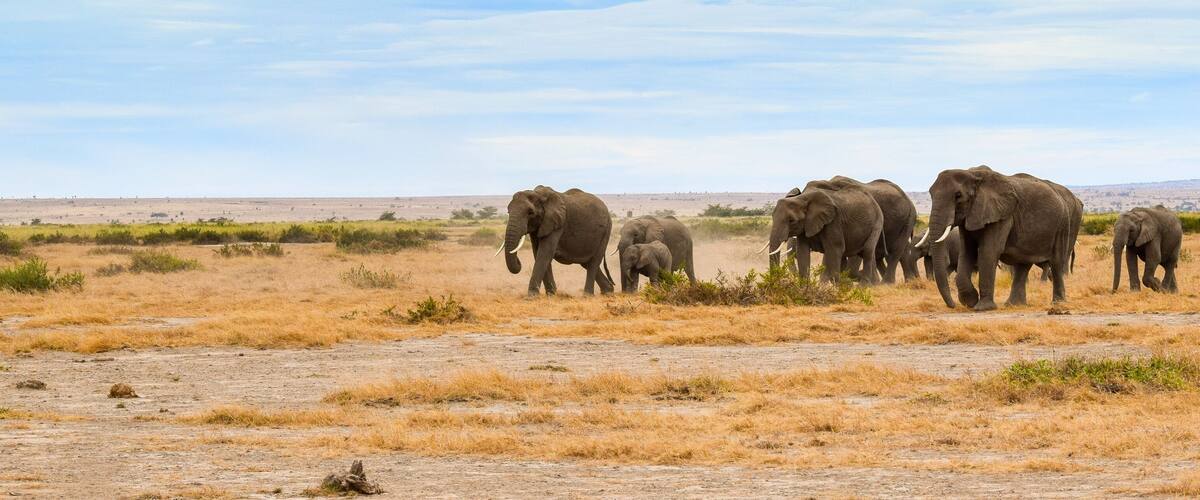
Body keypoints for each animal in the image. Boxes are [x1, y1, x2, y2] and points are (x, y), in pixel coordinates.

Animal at [921, 166, 1083, 311]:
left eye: (958, 196)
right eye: (930, 194)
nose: (953, 305)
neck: (973, 174)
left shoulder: (1001, 215)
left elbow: (989, 251)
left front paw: (982, 307)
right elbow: (967, 252)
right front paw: (970, 301)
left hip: (1063, 224)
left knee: (1056, 262)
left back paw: (1058, 304)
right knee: (1023, 264)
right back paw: (1014, 305)